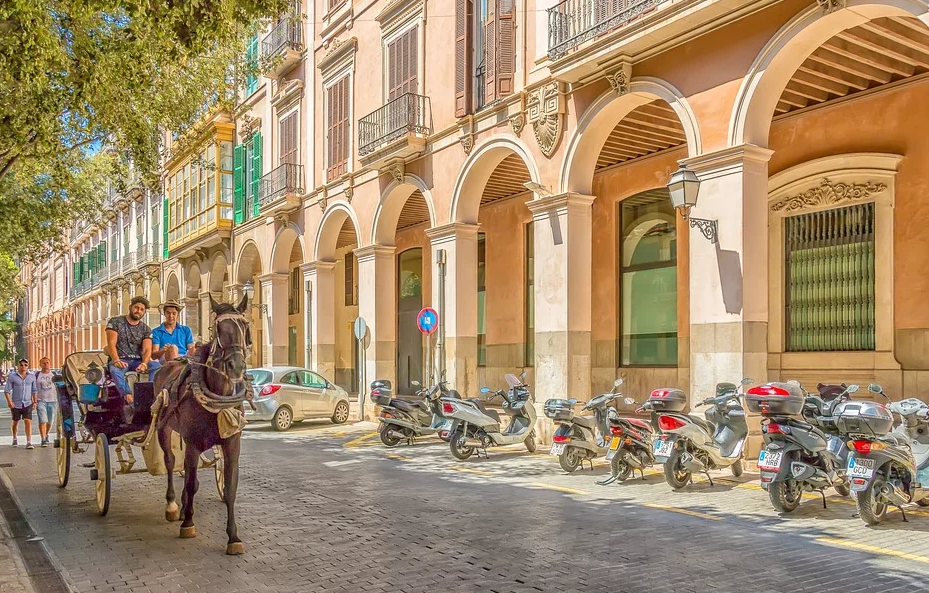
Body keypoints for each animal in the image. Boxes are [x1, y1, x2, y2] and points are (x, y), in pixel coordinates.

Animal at [154, 296, 252, 556]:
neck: (218, 395)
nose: (236, 366)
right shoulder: (193, 443)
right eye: (218, 329)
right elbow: (191, 483)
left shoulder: (232, 444)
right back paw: (173, 505)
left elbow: (229, 489)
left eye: (245, 326)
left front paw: (233, 537)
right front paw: (188, 523)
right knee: (170, 463)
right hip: (163, 429)